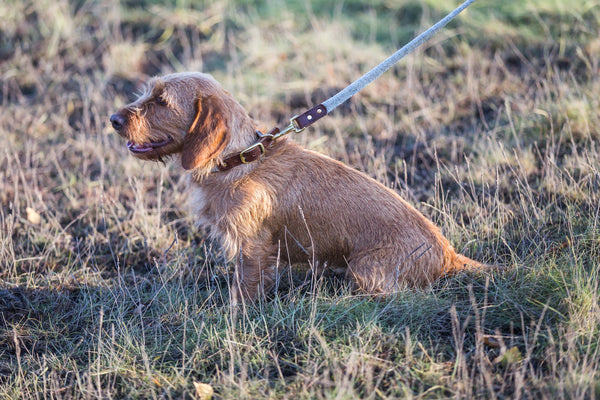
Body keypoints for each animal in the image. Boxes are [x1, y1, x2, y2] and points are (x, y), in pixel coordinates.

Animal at [109, 72, 482, 300]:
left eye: (161, 101)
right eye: (149, 91)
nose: (113, 119)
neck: (238, 161)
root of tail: (449, 255)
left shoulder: (252, 247)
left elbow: (244, 289)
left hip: (365, 272)